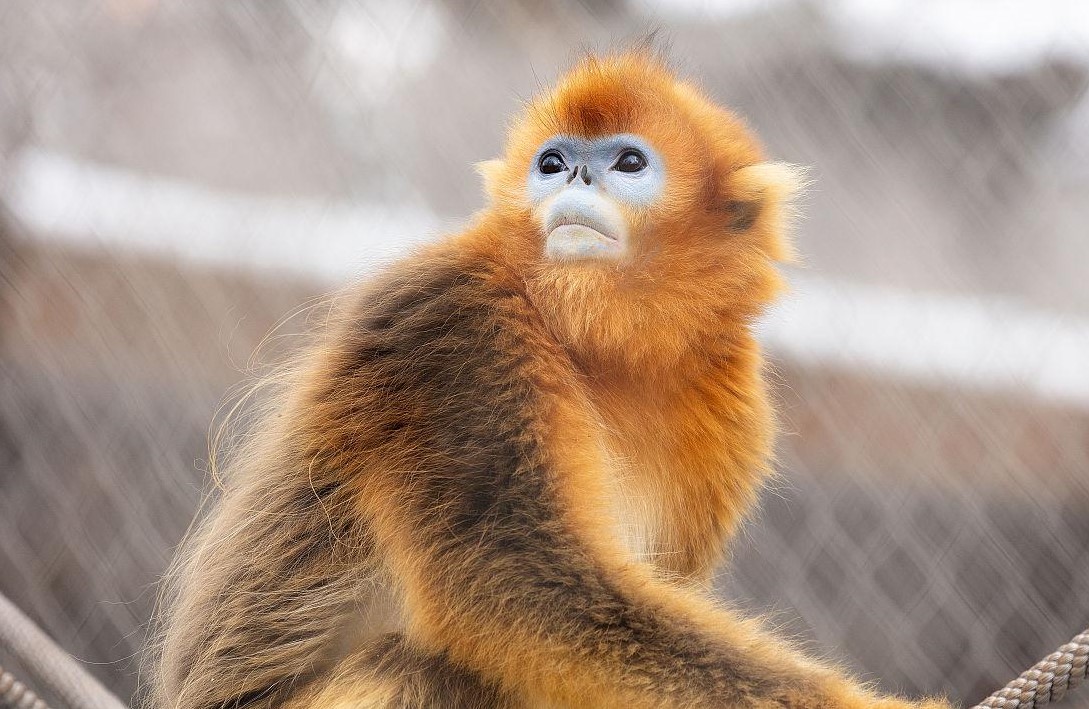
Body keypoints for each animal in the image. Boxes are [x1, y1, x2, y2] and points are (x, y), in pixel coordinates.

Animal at [151, 53, 951, 709]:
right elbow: (518, 583)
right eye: (551, 161)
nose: (574, 176)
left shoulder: (733, 395)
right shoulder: (461, 323)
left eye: (627, 162)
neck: (601, 349)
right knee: (424, 667)